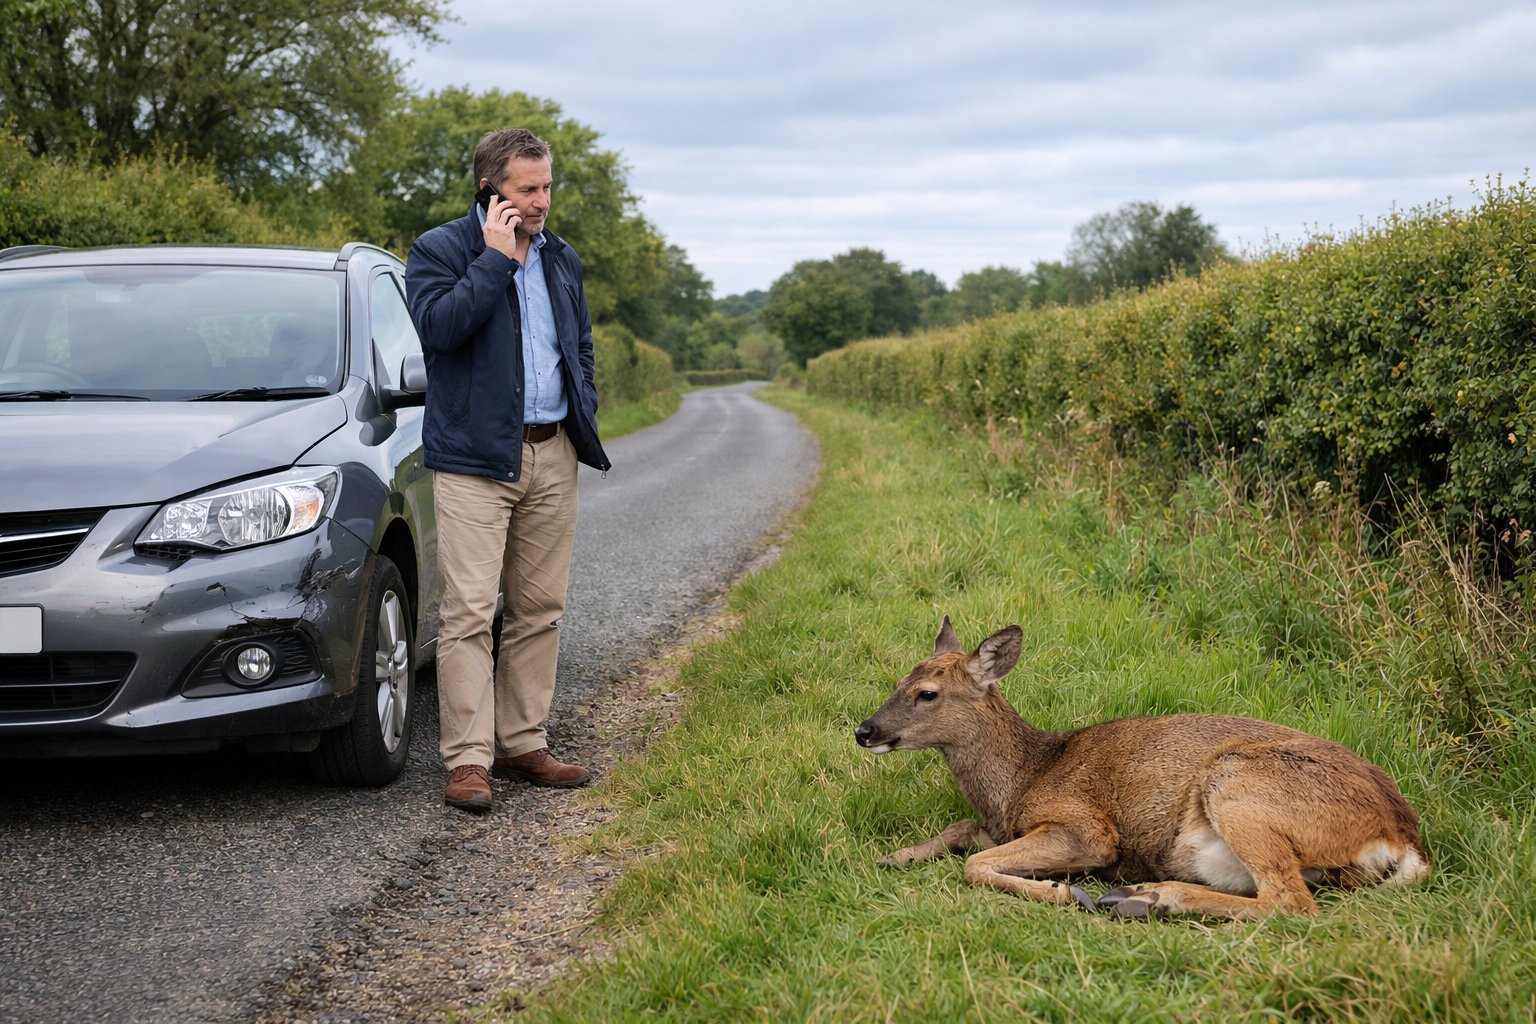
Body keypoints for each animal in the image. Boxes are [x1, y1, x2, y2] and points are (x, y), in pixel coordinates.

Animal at [854, 617, 1431, 919]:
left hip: (1239, 783)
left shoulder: (1087, 827)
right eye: (898, 680)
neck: (1022, 778)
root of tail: (1402, 834)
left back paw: (1143, 896)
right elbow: (961, 828)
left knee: (1290, 901)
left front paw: (1064, 891)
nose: (864, 730)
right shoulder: (1000, 824)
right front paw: (895, 856)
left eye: (927, 693)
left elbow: (975, 865)